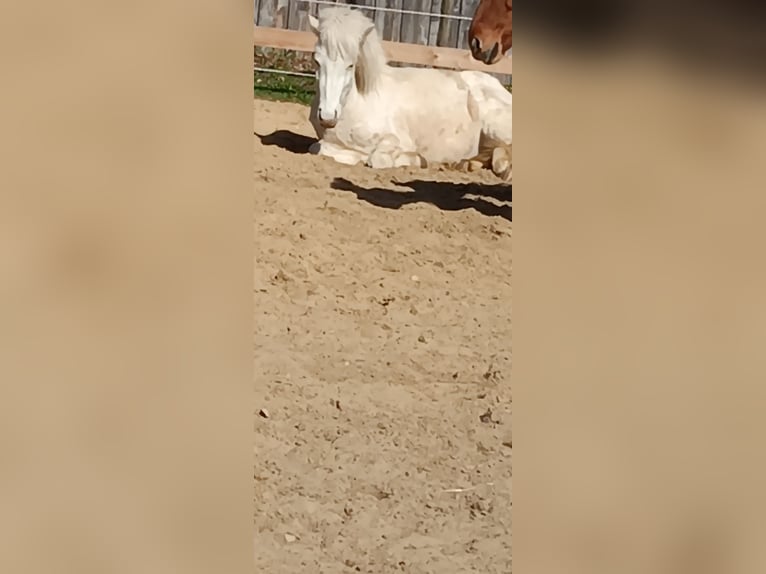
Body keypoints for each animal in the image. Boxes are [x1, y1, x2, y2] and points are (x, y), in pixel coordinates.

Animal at [307, 6, 512, 181]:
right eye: (317, 61)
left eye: (351, 65)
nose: (327, 117)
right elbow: (317, 148)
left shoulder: (394, 139)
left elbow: (378, 159)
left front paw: (415, 159)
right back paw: (467, 164)